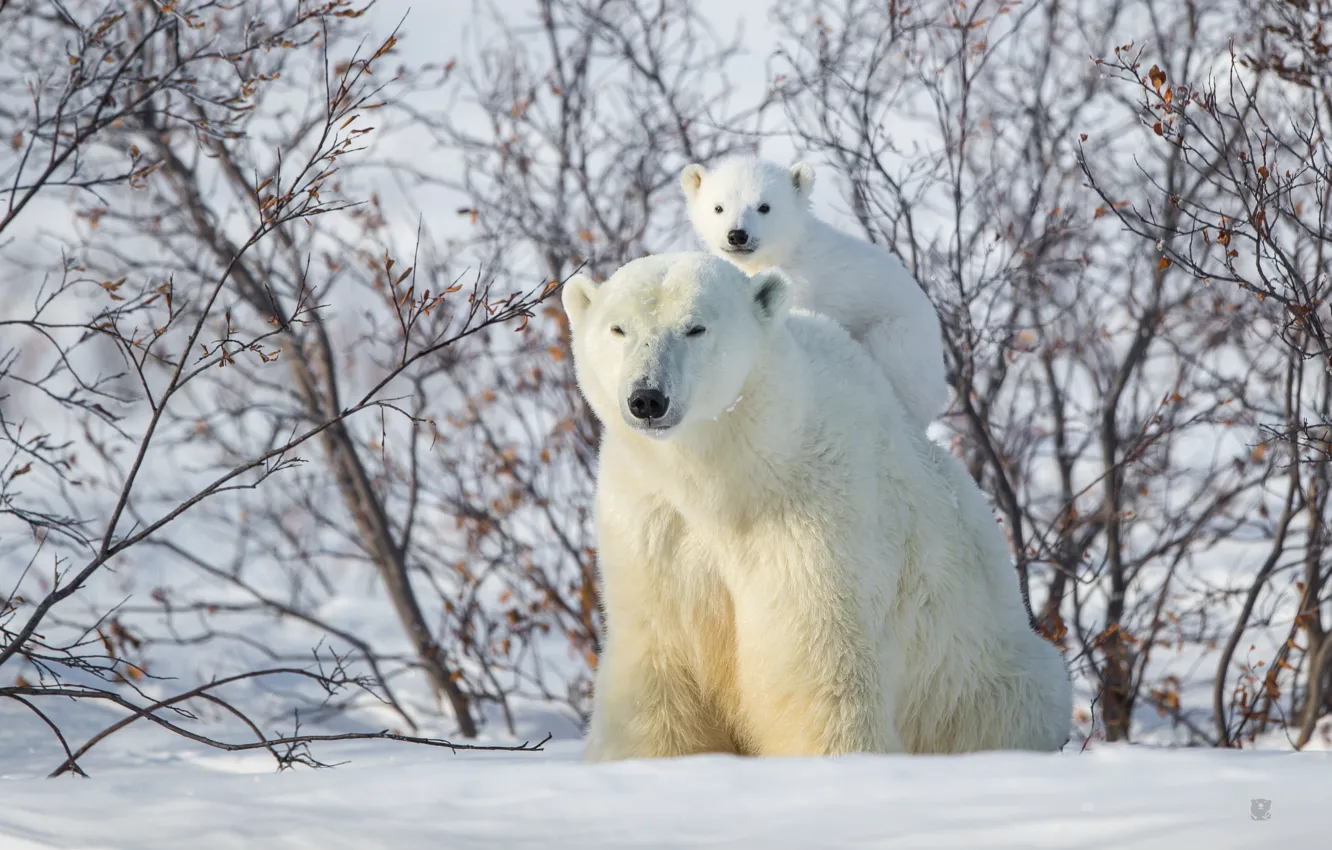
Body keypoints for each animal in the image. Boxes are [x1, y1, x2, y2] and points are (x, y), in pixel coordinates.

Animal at [563, 252, 1071, 761]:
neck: (731, 478)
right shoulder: (651, 521)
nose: (648, 397)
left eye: (695, 328)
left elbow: (817, 663)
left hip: (977, 677)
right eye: (618, 328)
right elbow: (660, 664)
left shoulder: (816, 514)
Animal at [681, 155, 950, 430]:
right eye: (719, 207)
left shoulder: (803, 284)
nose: (737, 235)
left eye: (764, 207)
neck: (782, 256)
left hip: (899, 339)